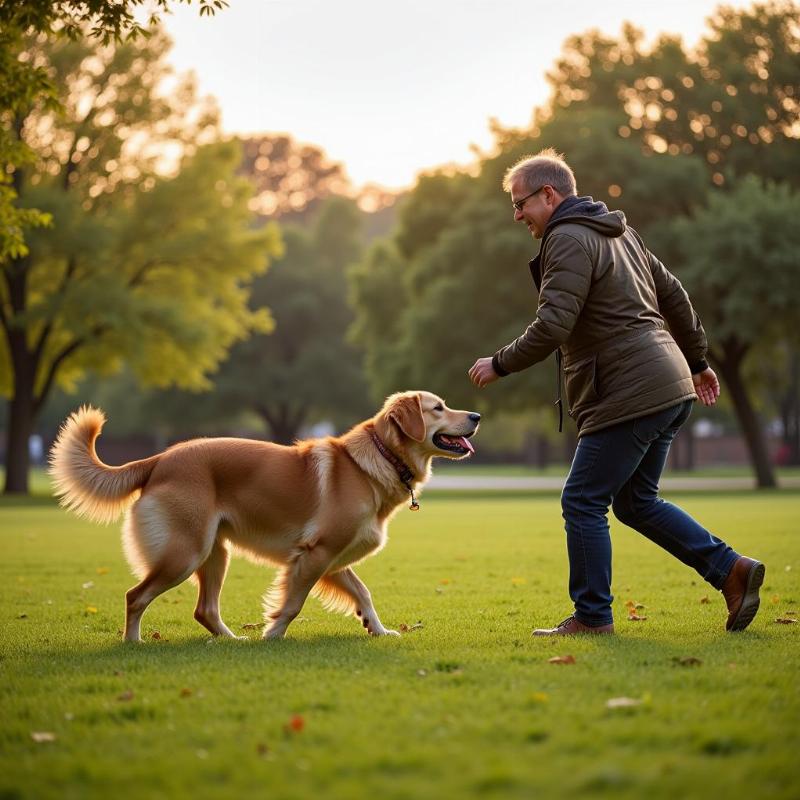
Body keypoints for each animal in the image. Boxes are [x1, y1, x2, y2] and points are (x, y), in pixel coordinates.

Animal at [50, 390, 478, 640]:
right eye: (438, 408)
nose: (475, 415)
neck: (379, 458)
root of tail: (159, 460)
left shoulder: (333, 559)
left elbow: (363, 593)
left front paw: (378, 628)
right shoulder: (317, 553)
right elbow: (293, 602)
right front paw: (273, 635)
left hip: (214, 554)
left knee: (204, 610)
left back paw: (230, 642)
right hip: (184, 555)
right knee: (135, 596)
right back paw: (134, 643)